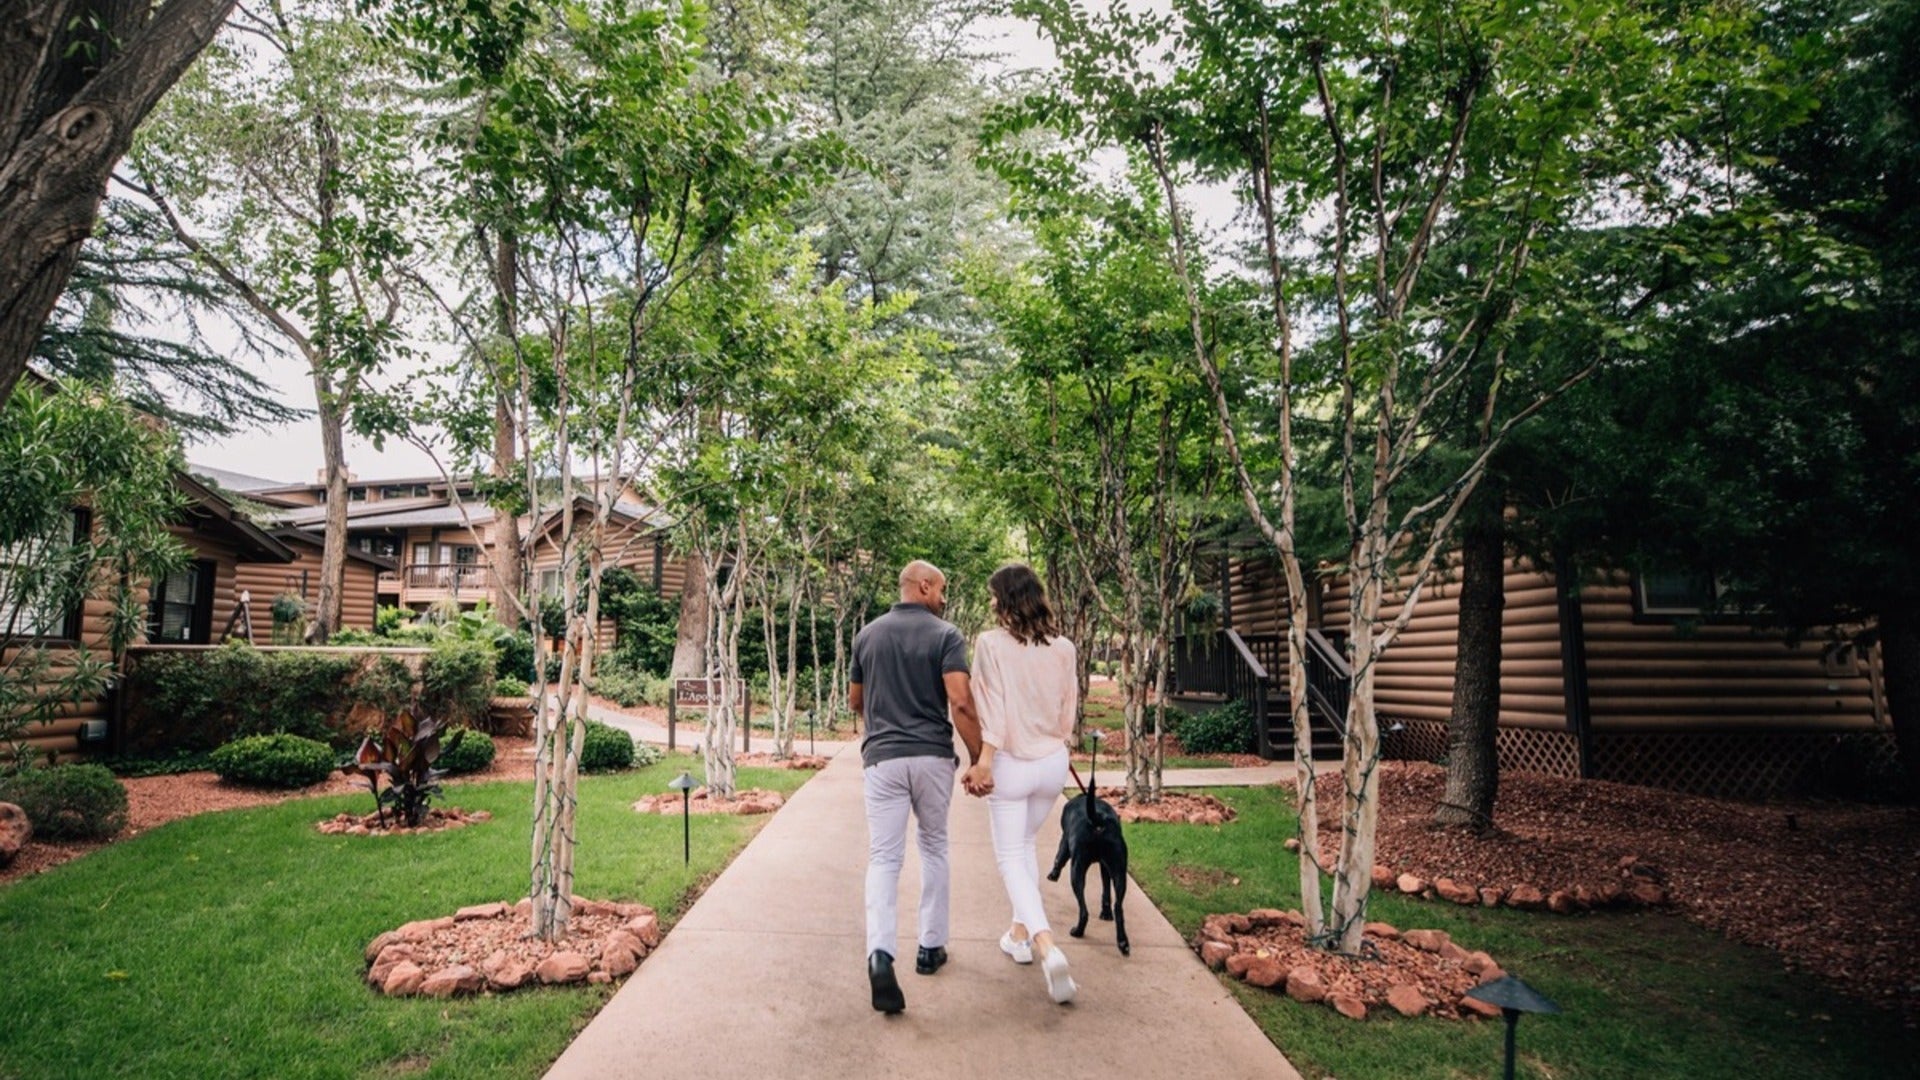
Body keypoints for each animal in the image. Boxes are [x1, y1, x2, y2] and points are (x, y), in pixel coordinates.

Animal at [1052, 780, 1121, 949]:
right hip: (1119, 870)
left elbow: (1060, 856)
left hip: (1077, 870)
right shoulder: (1105, 866)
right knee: (1117, 905)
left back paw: (1078, 931)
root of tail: (1098, 821)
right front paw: (1106, 912)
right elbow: (1106, 888)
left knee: (1084, 911)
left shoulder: (1065, 839)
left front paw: (1053, 874)